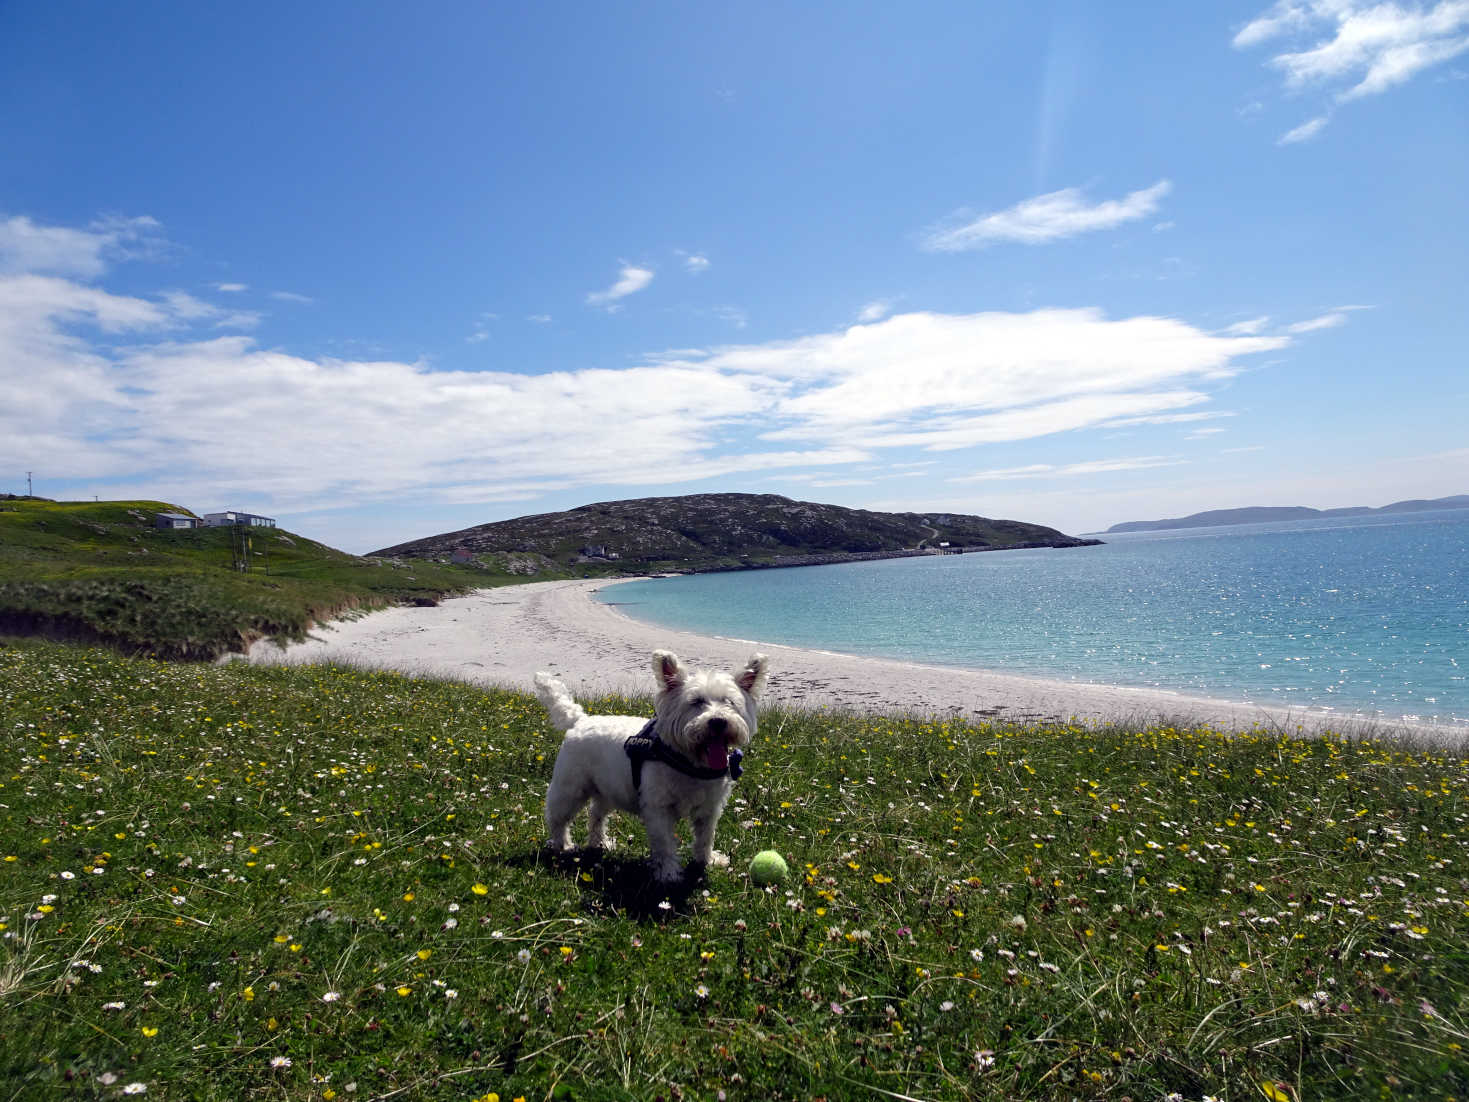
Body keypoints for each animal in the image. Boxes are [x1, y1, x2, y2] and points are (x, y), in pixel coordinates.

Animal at [537, 652, 769, 887]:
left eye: (730, 702)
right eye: (696, 701)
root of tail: (580, 720)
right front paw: (668, 874)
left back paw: (600, 843)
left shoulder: (709, 808)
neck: (690, 762)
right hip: (570, 787)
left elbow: (705, 837)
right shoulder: (659, 809)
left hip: (607, 789)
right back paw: (563, 845)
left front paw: (707, 860)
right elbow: (665, 843)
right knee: (558, 817)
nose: (718, 722)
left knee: (596, 815)